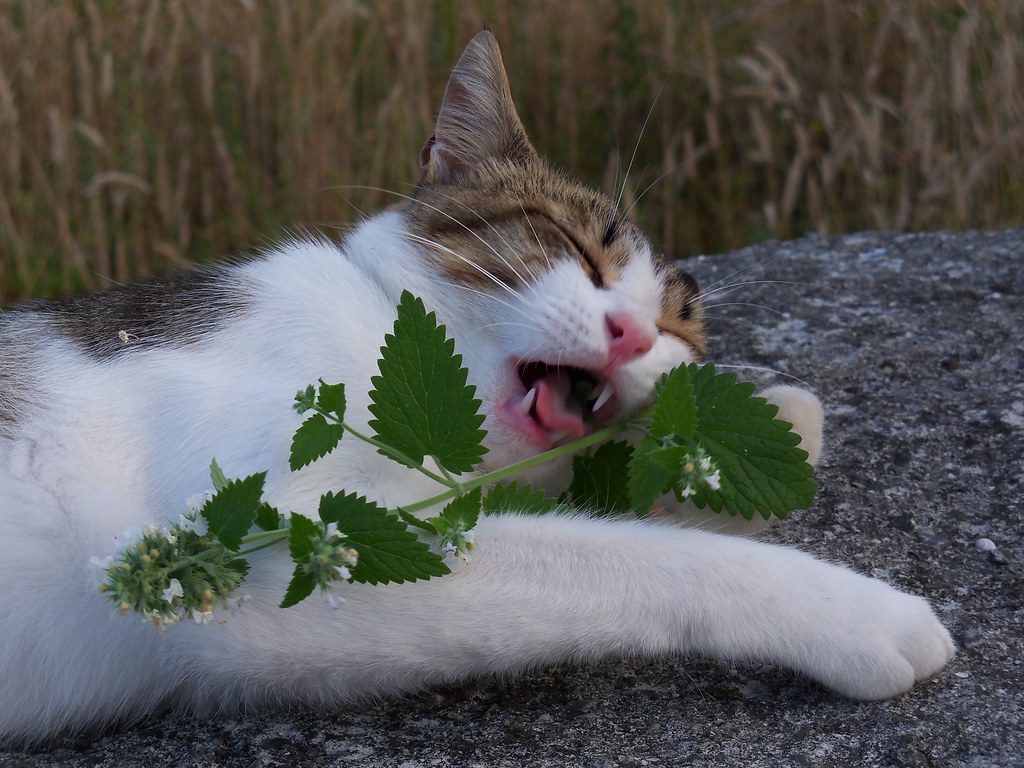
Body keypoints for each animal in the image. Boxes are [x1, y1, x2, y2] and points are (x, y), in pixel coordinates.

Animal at [0, 31, 950, 745]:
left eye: (679, 331)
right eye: (576, 246)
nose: (634, 334)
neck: (373, 329)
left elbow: (622, 513)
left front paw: (768, 430)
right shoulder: (265, 549)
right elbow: (624, 558)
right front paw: (859, 613)